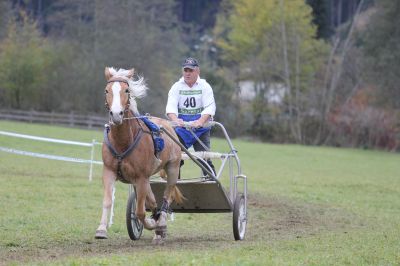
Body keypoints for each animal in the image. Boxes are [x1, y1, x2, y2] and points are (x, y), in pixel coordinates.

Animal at [95, 66, 184, 243]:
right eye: (106, 90)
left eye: (127, 90)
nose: (116, 114)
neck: (122, 142)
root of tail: (168, 125)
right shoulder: (109, 171)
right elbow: (108, 201)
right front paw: (101, 229)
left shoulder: (141, 177)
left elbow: (140, 211)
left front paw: (153, 224)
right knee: (153, 201)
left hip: (172, 169)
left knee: (167, 197)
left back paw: (160, 223)